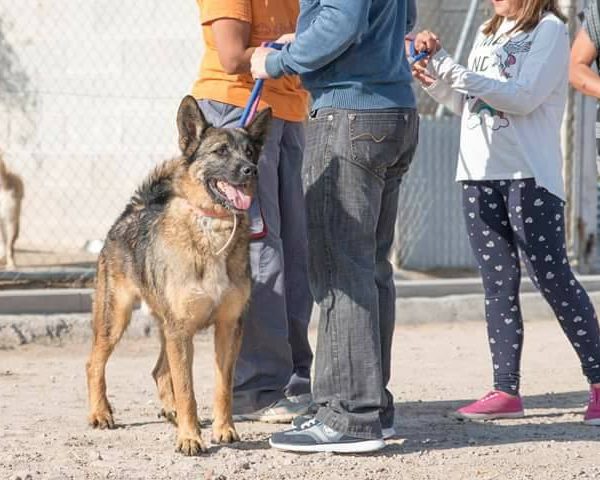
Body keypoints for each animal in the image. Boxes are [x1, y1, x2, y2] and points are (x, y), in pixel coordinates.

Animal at [85, 95, 272, 456]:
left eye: (250, 152)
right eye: (220, 151)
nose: (251, 170)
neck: (213, 228)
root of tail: (133, 210)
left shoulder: (228, 327)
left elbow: (222, 386)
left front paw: (224, 430)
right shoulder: (182, 330)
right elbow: (187, 390)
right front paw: (189, 438)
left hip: (164, 327)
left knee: (159, 370)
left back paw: (169, 411)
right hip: (115, 319)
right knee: (94, 364)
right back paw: (100, 413)